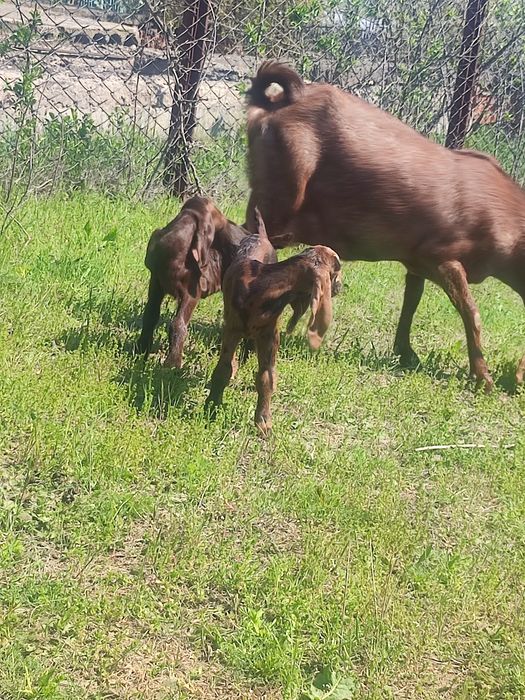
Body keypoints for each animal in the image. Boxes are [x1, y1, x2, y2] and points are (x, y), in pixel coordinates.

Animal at [137, 196, 248, 368]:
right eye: (218, 224)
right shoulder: (156, 281)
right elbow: (150, 314)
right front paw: (140, 349)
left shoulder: (191, 292)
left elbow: (178, 324)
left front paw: (172, 364)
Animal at [205, 209, 342, 433]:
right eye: (337, 267)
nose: (341, 286)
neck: (260, 285)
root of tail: (262, 236)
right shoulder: (232, 328)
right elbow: (223, 368)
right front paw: (212, 405)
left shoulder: (269, 335)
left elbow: (266, 377)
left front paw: (263, 420)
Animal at [245, 61, 525, 390]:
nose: (517, 380)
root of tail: (276, 102)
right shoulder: (443, 257)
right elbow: (471, 312)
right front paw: (483, 378)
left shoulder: (417, 262)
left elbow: (411, 303)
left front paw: (406, 353)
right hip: (277, 205)